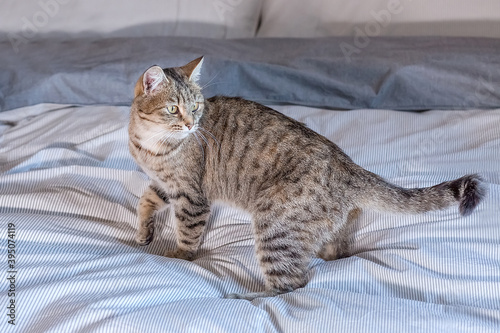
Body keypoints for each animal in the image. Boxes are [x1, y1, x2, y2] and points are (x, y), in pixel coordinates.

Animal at [127, 55, 486, 300]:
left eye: (196, 106)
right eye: (173, 109)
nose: (191, 126)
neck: (151, 146)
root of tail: (350, 167)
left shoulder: (191, 196)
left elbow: (187, 237)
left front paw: (178, 258)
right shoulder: (166, 186)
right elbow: (145, 200)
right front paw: (143, 233)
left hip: (275, 225)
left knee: (292, 284)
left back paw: (245, 297)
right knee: (334, 253)